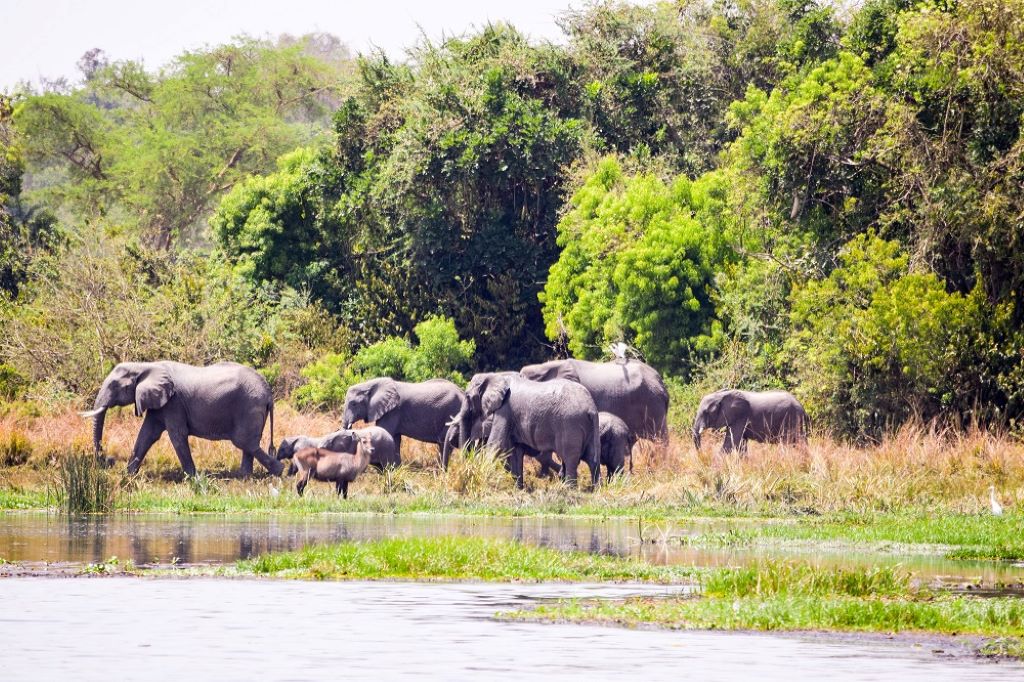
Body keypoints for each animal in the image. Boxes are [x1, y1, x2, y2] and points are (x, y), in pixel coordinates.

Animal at [79, 358, 282, 475]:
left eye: (114, 385)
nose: (106, 460)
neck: (145, 365)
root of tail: (269, 393)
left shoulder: (174, 402)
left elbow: (177, 435)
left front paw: (193, 478)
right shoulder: (161, 402)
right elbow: (147, 434)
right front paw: (128, 475)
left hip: (249, 407)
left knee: (244, 442)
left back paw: (279, 472)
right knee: (248, 444)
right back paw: (244, 477)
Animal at [456, 368, 598, 485]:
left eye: (467, 396)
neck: (496, 376)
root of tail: (590, 408)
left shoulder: (505, 410)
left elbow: (495, 444)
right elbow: (516, 451)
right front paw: (518, 488)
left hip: (570, 424)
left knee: (570, 460)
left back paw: (568, 489)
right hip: (590, 427)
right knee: (593, 459)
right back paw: (595, 490)